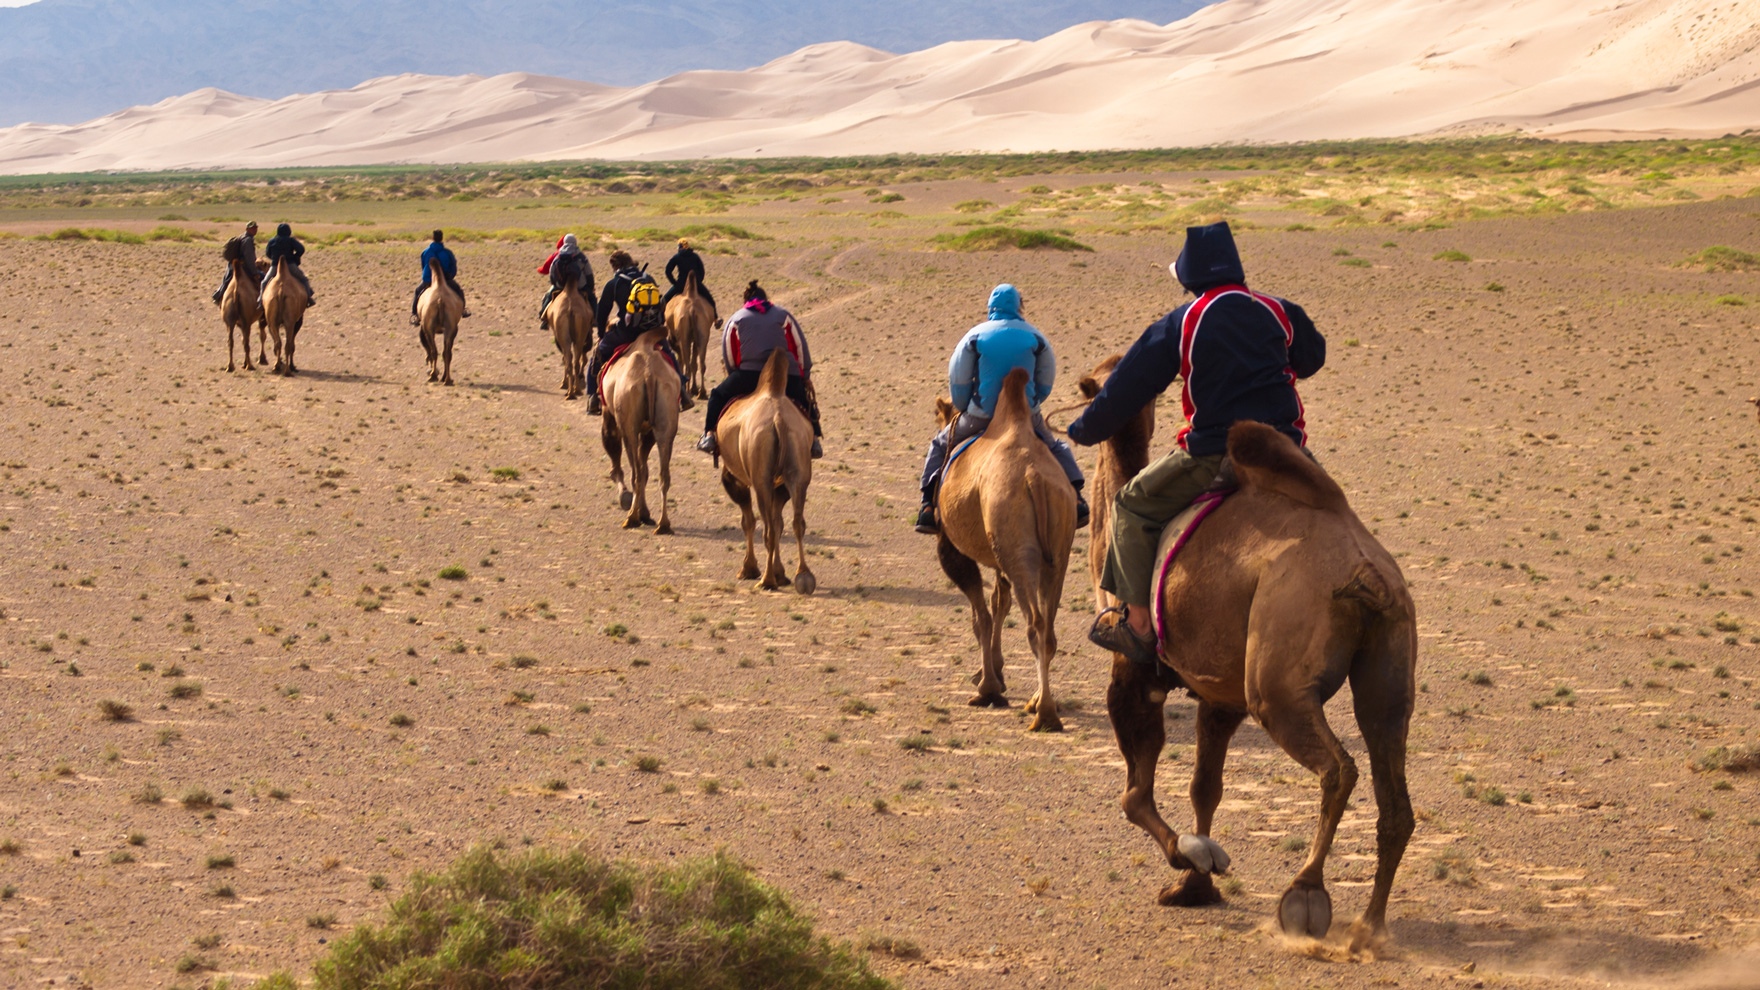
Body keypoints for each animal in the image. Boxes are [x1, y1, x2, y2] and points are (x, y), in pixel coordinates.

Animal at [417, 255, 464, 384]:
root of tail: (440, 300)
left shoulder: (424, 328)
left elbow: (429, 348)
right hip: (451, 328)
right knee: (447, 352)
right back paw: (447, 379)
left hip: (429, 328)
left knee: (434, 351)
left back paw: (433, 375)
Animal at [598, 327, 679, 531]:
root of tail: (649, 374)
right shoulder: (649, 431)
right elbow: (646, 468)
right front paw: (645, 513)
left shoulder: (609, 414)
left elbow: (612, 445)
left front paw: (626, 498)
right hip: (666, 420)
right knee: (663, 474)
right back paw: (663, 524)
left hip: (629, 425)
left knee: (635, 472)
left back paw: (631, 518)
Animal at [714, 347, 816, 591]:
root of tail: (778, 419)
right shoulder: (780, 485)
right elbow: (779, 523)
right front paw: (781, 573)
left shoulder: (734, 477)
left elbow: (749, 521)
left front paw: (749, 569)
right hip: (798, 471)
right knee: (797, 522)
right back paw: (804, 576)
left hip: (761, 479)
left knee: (766, 527)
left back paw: (766, 580)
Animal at [936, 366, 1070, 729]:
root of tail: (1033, 477)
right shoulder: (998, 557)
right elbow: (999, 603)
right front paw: (995, 672)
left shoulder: (953, 551)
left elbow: (980, 616)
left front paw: (988, 687)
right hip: (1054, 552)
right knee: (1047, 627)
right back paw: (1038, 702)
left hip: (1017, 548)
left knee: (1035, 625)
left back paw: (1045, 714)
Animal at [1077, 354, 1422, 951]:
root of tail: (1368, 572)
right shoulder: (1219, 694)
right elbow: (1205, 789)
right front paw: (1195, 886)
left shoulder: (1135, 670)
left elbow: (1135, 795)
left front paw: (1190, 857)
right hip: (1388, 664)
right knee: (1393, 791)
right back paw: (1368, 929)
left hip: (1278, 686)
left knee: (1339, 769)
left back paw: (1305, 896)